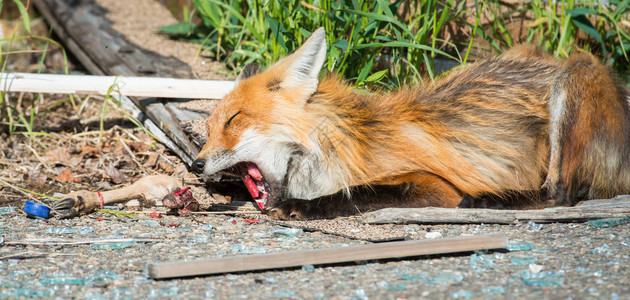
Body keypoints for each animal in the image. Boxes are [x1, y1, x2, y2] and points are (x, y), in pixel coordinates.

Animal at [191, 28, 630, 220]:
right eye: (208, 129)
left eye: (234, 120)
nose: (195, 164)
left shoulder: (437, 185)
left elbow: (365, 192)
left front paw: (308, 207)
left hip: (575, 73)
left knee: (559, 193)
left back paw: (492, 200)